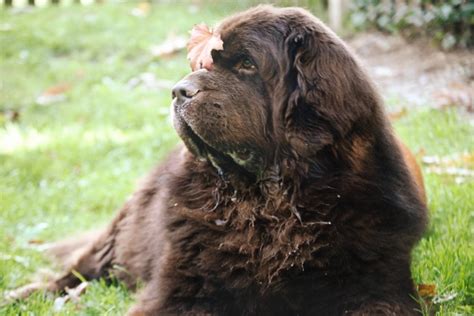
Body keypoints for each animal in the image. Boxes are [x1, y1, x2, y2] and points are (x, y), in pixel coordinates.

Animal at [11, 5, 428, 316]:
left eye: (246, 64)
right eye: (201, 67)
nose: (178, 91)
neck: (268, 205)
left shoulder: (375, 284)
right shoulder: (181, 289)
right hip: (120, 238)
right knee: (80, 271)